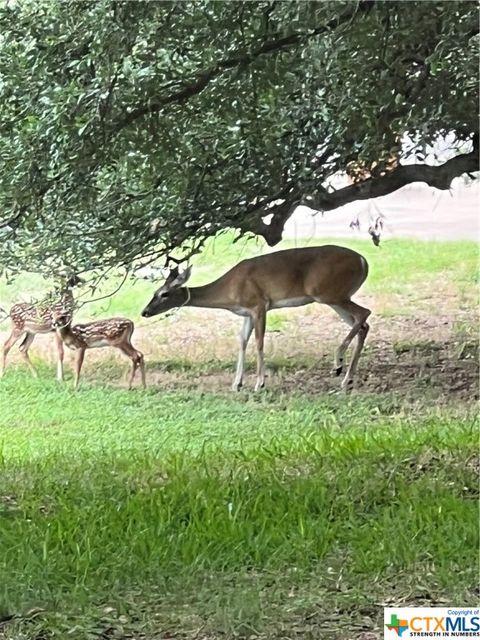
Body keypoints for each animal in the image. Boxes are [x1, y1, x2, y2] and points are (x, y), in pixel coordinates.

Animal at [141, 245, 370, 392]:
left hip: (329, 293)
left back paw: (338, 363)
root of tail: (363, 261)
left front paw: (260, 383)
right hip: (336, 297)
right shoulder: (246, 312)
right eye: (154, 291)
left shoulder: (259, 305)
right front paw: (237, 383)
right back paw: (347, 379)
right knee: (363, 325)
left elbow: (259, 342)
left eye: (164, 294)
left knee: (364, 313)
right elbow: (242, 341)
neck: (230, 290)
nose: (144, 311)